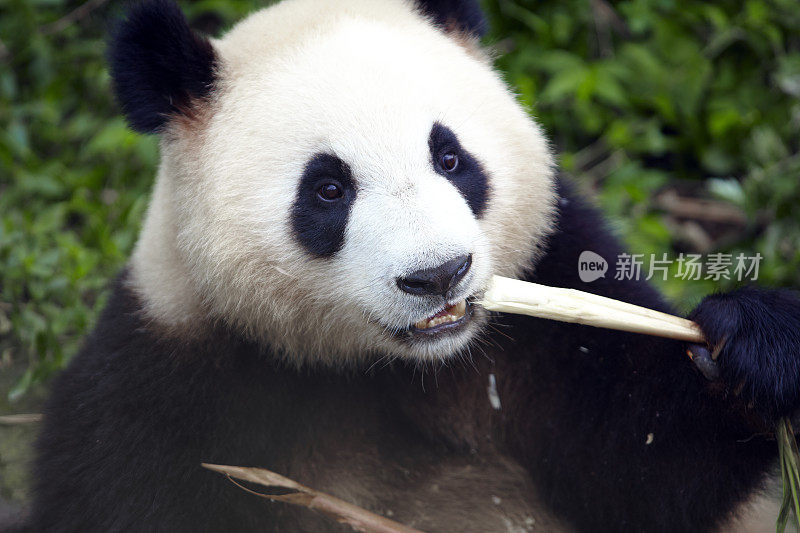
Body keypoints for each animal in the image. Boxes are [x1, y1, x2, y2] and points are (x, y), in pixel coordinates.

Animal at [28, 0, 800, 528]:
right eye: (328, 188)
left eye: (451, 157)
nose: (439, 274)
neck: (392, 368)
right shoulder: (162, 389)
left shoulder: (546, 308)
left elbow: (646, 463)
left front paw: (756, 346)